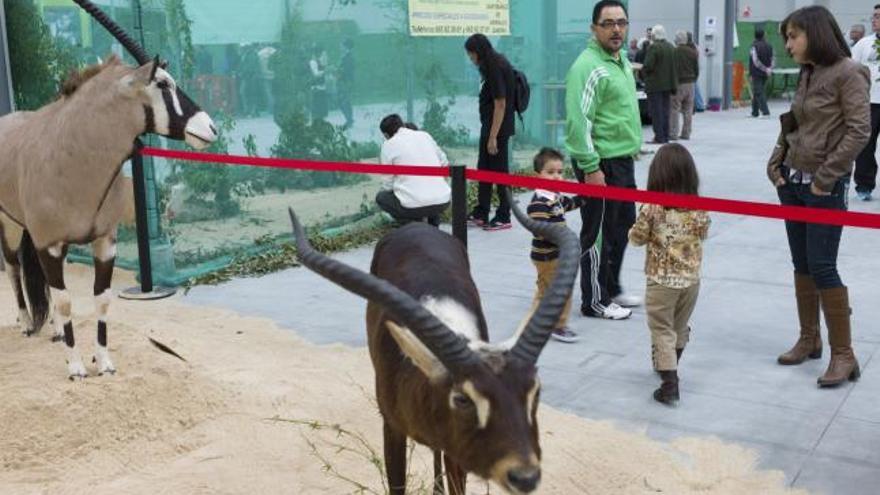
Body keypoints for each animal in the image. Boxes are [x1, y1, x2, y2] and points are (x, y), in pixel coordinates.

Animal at [0, 0, 217, 378]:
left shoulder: (103, 241)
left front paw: (104, 362)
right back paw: (27, 323)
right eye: (163, 83)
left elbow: (100, 298)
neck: (75, 160)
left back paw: (56, 331)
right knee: (13, 266)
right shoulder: (49, 243)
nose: (210, 128)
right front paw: (75, 367)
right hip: (11, 224)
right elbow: (67, 300)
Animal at [286, 195, 580, 495]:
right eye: (462, 398)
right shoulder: (392, 427)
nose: (525, 476)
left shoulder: (456, 451)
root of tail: (417, 226)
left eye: (535, 390)